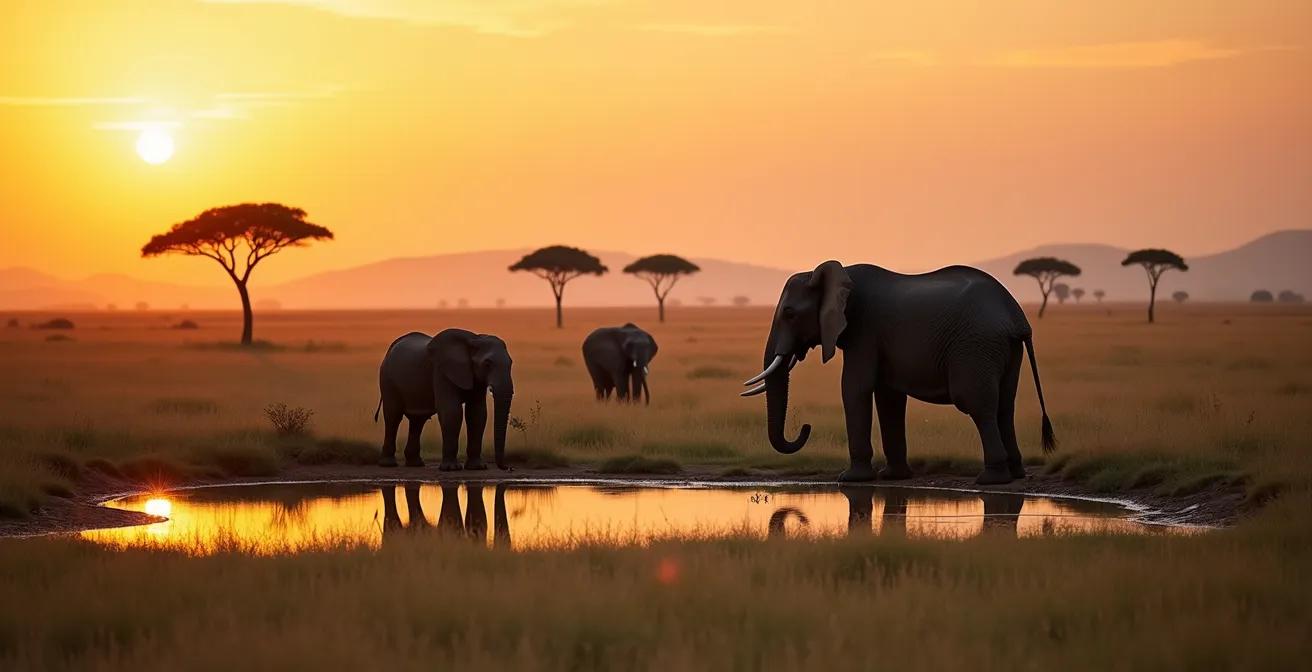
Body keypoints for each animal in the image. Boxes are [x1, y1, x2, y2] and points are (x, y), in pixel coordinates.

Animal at [374, 328, 515, 471]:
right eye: (487, 364)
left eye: (511, 363)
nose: (508, 468)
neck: (474, 338)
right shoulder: (441, 372)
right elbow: (452, 411)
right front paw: (451, 469)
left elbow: (477, 414)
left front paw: (477, 467)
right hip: (387, 379)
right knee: (393, 417)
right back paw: (388, 464)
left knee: (417, 421)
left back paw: (415, 464)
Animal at [741, 260, 1056, 486]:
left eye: (790, 314)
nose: (806, 427)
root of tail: (1016, 314)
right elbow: (888, 398)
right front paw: (892, 477)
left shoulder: (863, 330)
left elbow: (855, 387)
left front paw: (851, 479)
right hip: (1004, 348)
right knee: (1004, 404)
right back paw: (1015, 474)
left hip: (976, 345)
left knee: (977, 403)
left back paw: (991, 480)